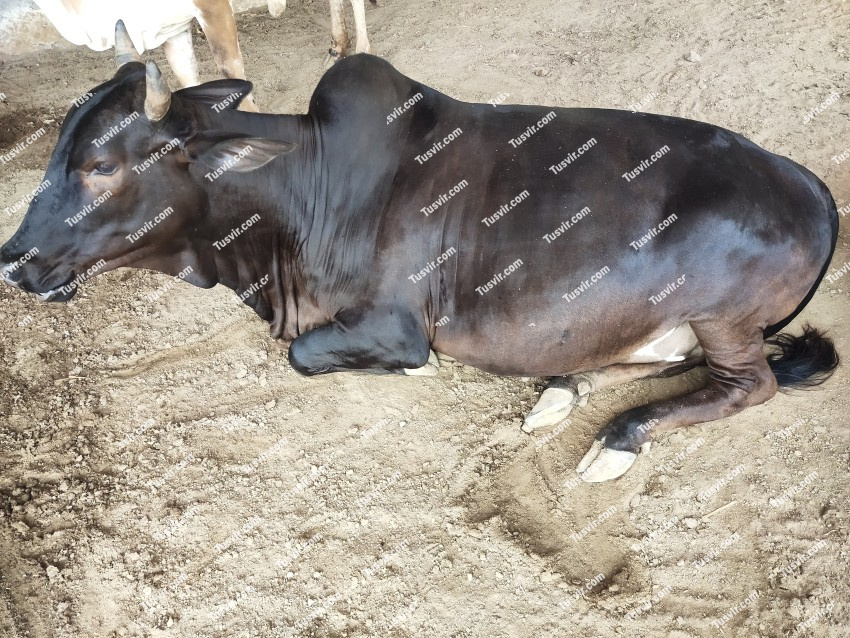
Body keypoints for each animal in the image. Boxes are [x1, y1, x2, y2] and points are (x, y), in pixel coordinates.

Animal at [0, 31, 839, 483]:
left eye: (101, 166)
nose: (12, 260)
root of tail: (814, 191)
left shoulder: (394, 326)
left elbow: (309, 355)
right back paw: (561, 392)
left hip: (721, 314)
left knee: (748, 385)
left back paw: (614, 441)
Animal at [32, 0, 374, 111]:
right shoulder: (171, 29)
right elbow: (187, 80)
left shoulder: (211, 6)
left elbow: (230, 70)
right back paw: (337, 47)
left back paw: (361, 48)